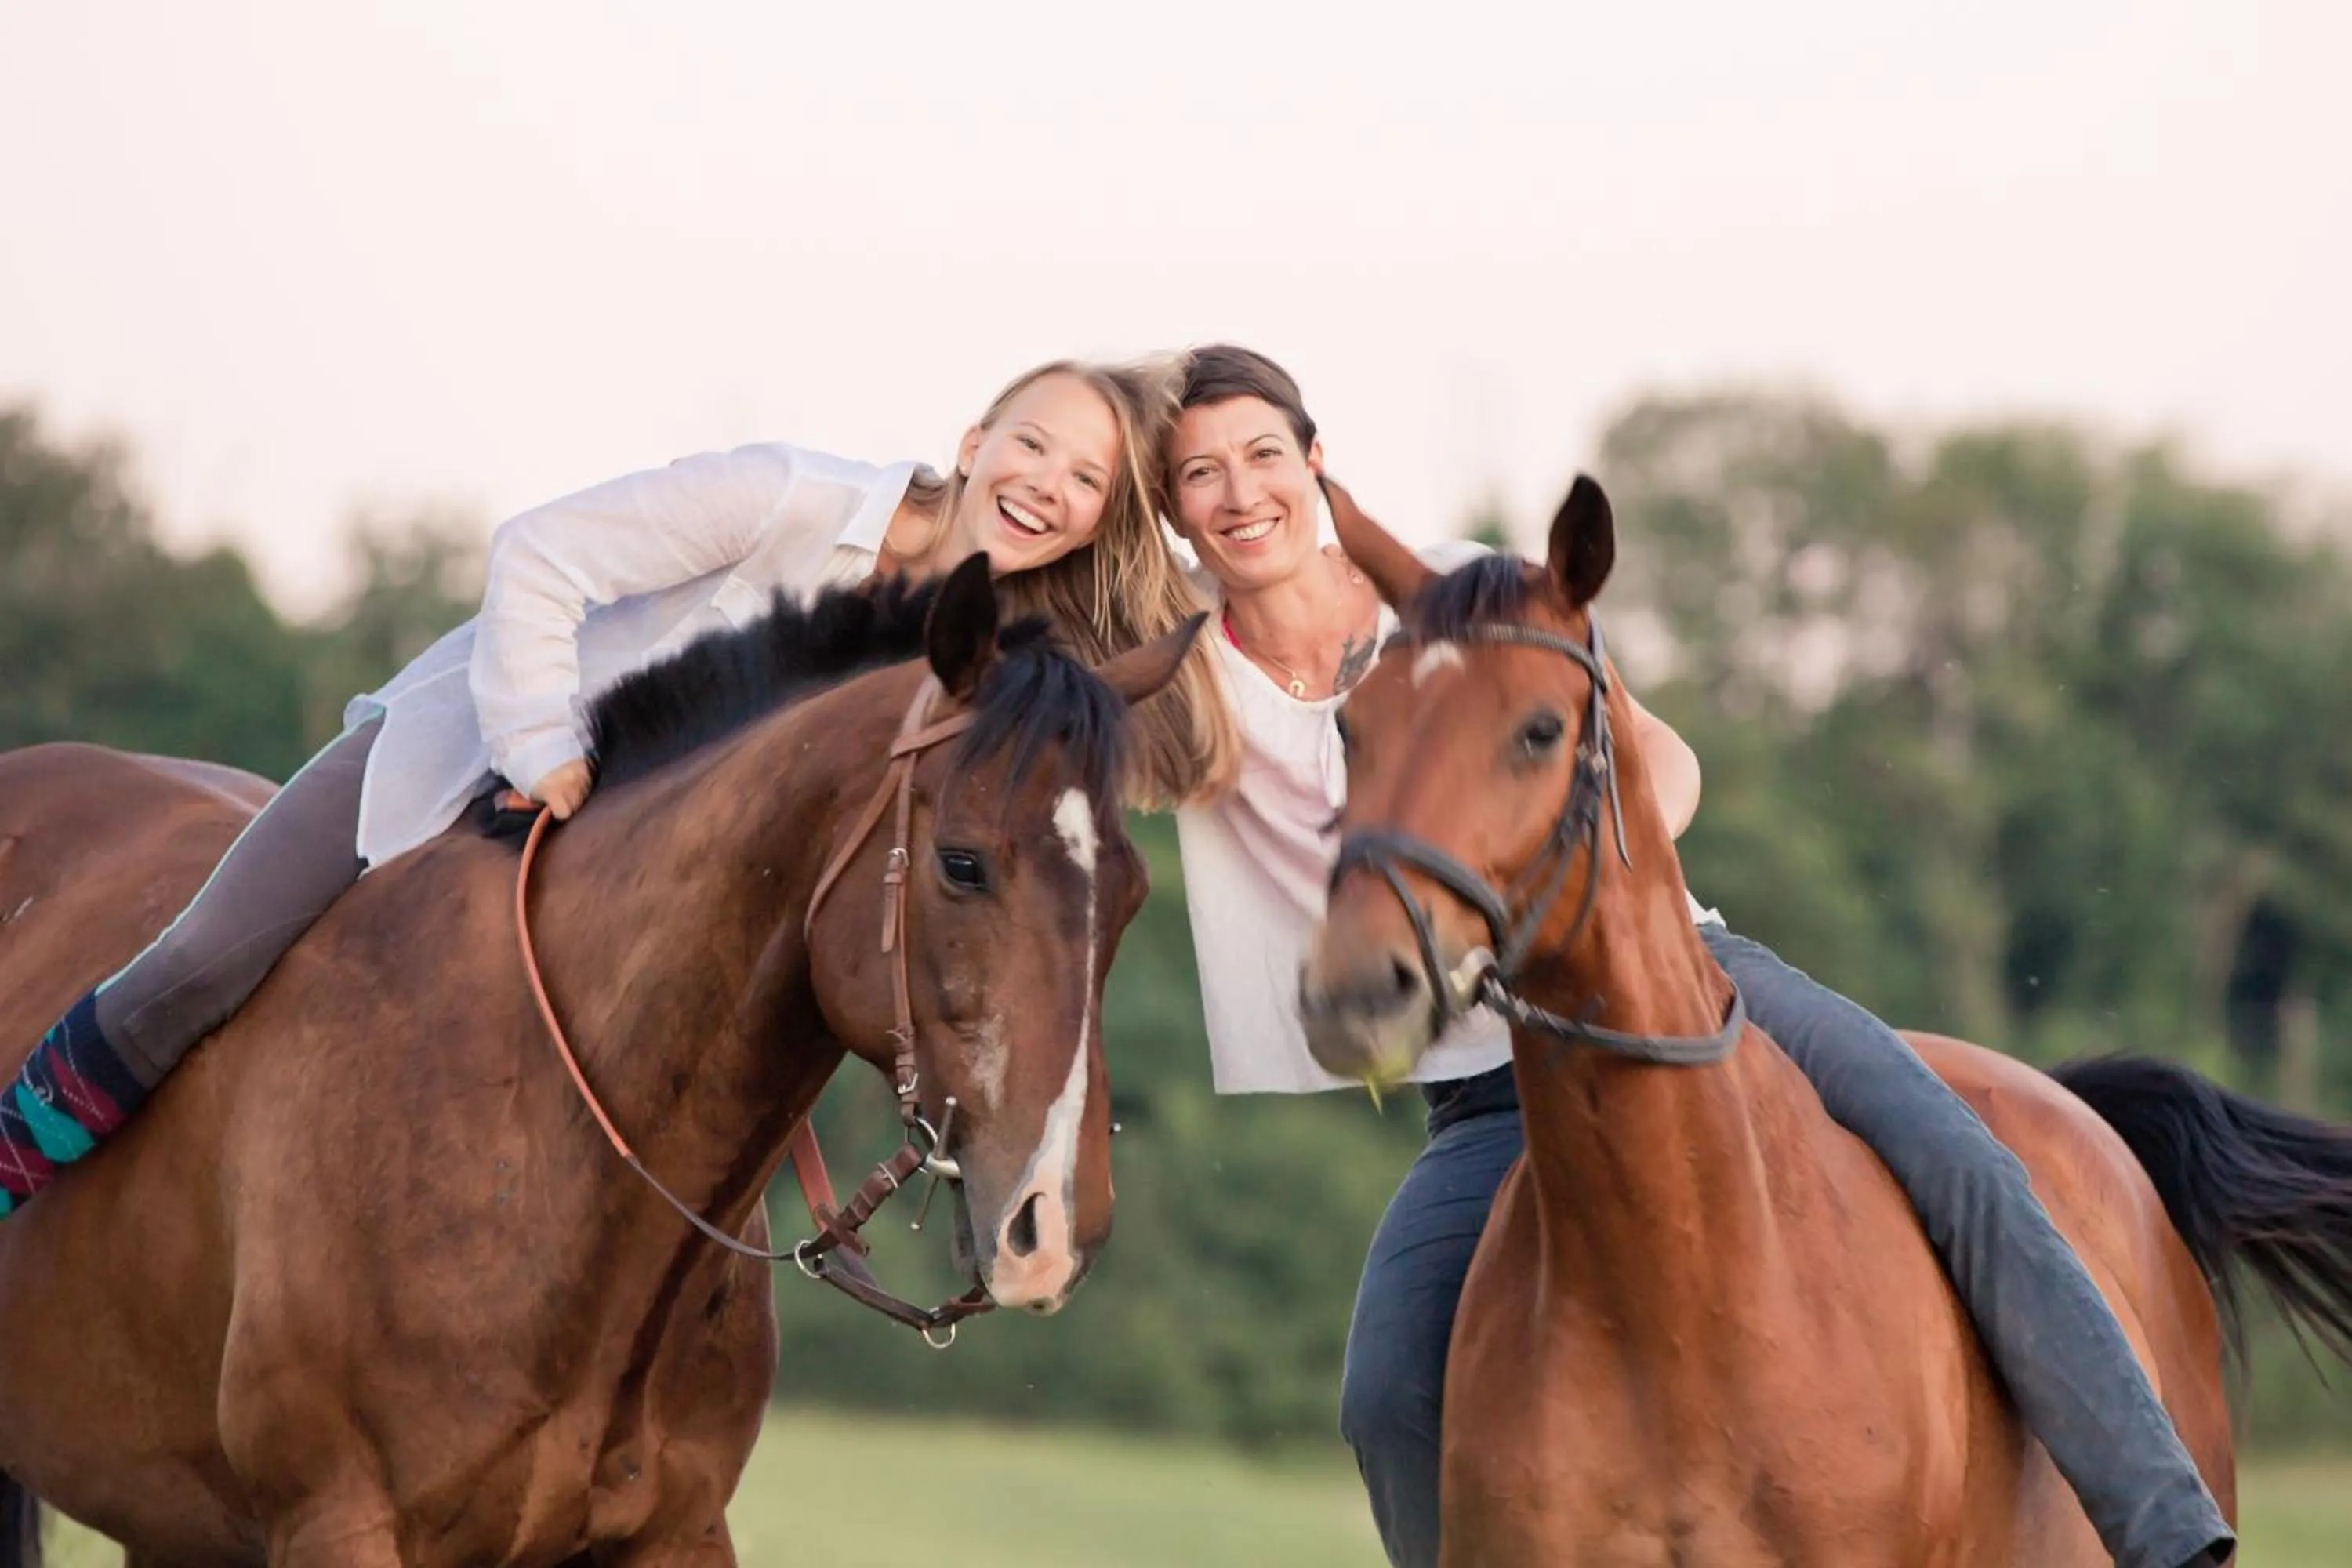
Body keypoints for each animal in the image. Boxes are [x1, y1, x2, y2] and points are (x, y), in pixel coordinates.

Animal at [0, 553, 1200, 1567]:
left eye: (1134, 891)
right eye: (962, 864)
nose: (1055, 1227)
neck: (536, 1136)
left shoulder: (677, 1531)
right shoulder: (338, 1525)